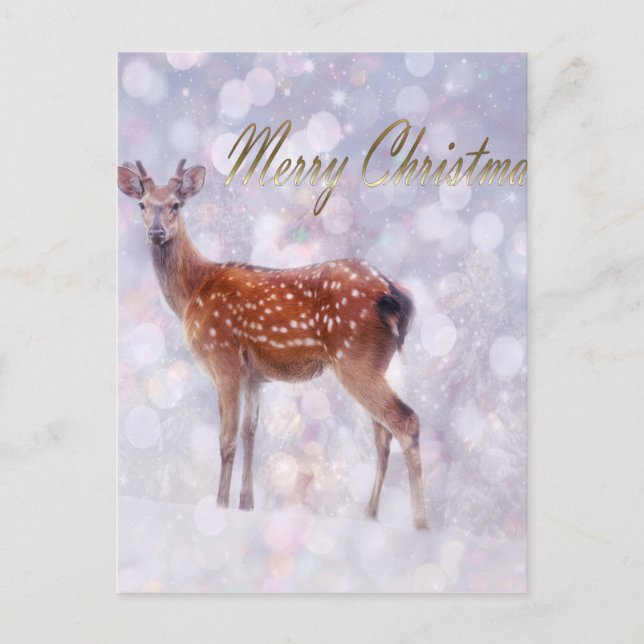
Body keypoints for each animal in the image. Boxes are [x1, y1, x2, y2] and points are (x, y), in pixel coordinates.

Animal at [118, 159, 429, 530]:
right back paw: (370, 515)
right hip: (374, 362)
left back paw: (420, 523)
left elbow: (226, 440)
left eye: (176, 205)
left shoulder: (223, 359)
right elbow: (250, 433)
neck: (194, 290)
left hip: (355, 357)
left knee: (405, 420)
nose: (155, 232)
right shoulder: (254, 376)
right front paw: (246, 504)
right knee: (382, 432)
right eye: (142, 204)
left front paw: (219, 506)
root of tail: (396, 295)